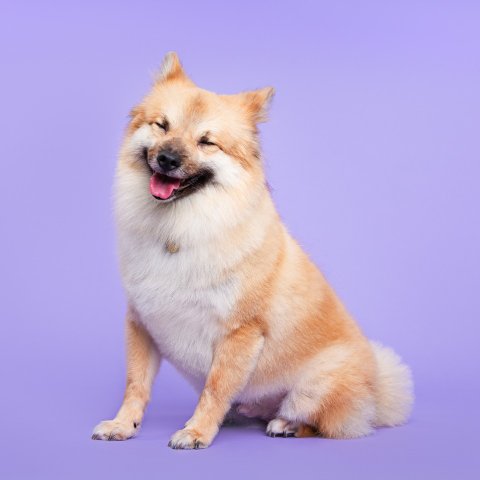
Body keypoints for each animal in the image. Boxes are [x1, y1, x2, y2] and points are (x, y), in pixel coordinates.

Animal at [92, 52, 413, 449]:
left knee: (322, 421)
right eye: (162, 126)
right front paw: (122, 425)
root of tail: (378, 392)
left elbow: (215, 388)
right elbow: (135, 385)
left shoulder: (240, 332)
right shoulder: (141, 323)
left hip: (316, 384)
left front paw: (196, 431)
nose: (167, 158)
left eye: (206, 142)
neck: (179, 227)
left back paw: (286, 424)